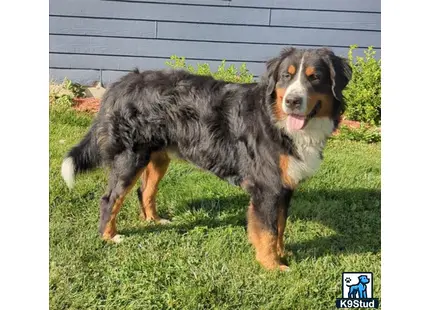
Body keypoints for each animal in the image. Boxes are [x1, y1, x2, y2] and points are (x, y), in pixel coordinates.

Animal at [62, 46, 352, 272]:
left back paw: (155, 220)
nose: (292, 101)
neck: (276, 120)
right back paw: (109, 236)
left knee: (145, 191)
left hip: (157, 157)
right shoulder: (267, 188)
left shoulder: (285, 186)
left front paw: (283, 253)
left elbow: (280, 226)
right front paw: (272, 266)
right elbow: (268, 232)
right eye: (286, 76)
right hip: (130, 158)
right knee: (110, 199)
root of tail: (123, 82)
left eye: (315, 78)